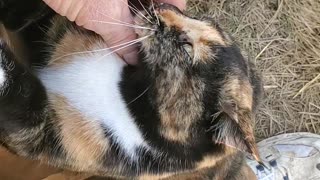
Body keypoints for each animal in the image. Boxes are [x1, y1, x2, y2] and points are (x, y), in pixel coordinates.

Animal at [0, 0, 262, 179]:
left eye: (186, 47)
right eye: (204, 19)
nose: (162, 6)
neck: (126, 88)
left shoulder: (45, 137)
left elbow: (26, 101)